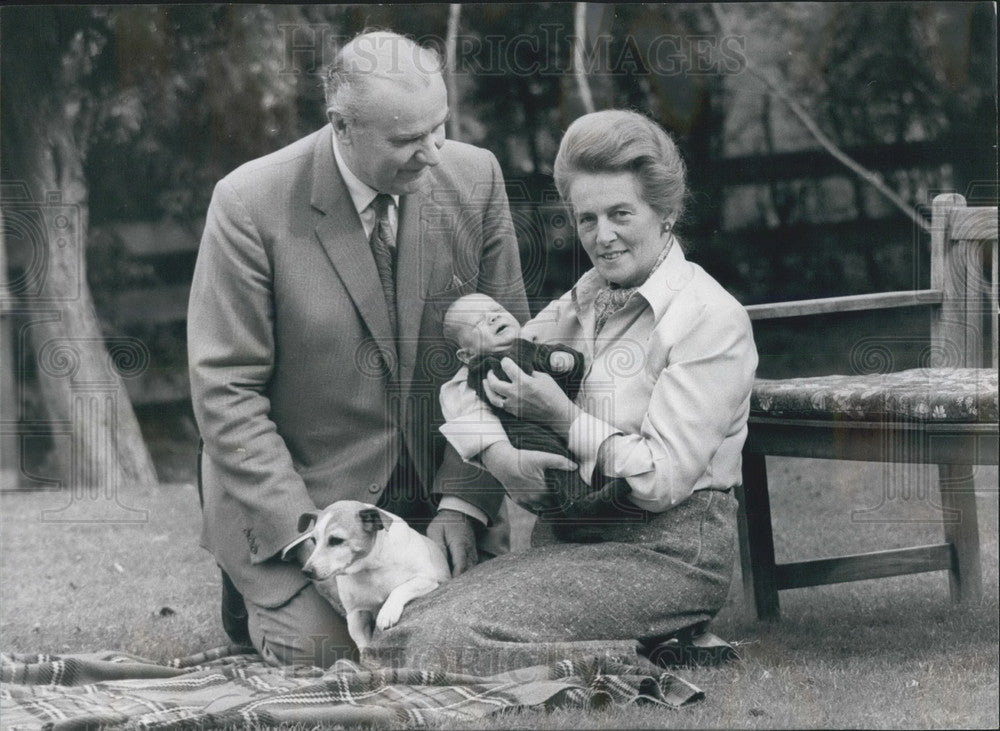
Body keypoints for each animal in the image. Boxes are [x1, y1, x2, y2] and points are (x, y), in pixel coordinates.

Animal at [284, 500, 452, 648]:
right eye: (313, 540)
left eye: (336, 540)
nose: (306, 571)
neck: (369, 568)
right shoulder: (355, 615)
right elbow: (364, 647)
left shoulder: (426, 579)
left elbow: (399, 589)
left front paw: (387, 612)